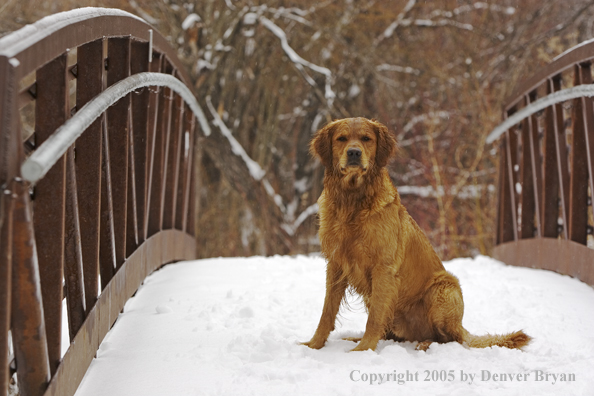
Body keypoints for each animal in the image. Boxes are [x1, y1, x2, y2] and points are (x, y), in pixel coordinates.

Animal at [302, 117, 528, 352]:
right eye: (341, 138)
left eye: (366, 138)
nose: (354, 153)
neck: (352, 202)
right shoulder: (336, 264)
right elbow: (327, 312)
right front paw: (313, 345)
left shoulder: (383, 268)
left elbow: (374, 318)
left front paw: (363, 351)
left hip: (444, 287)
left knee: (448, 338)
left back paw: (425, 344)